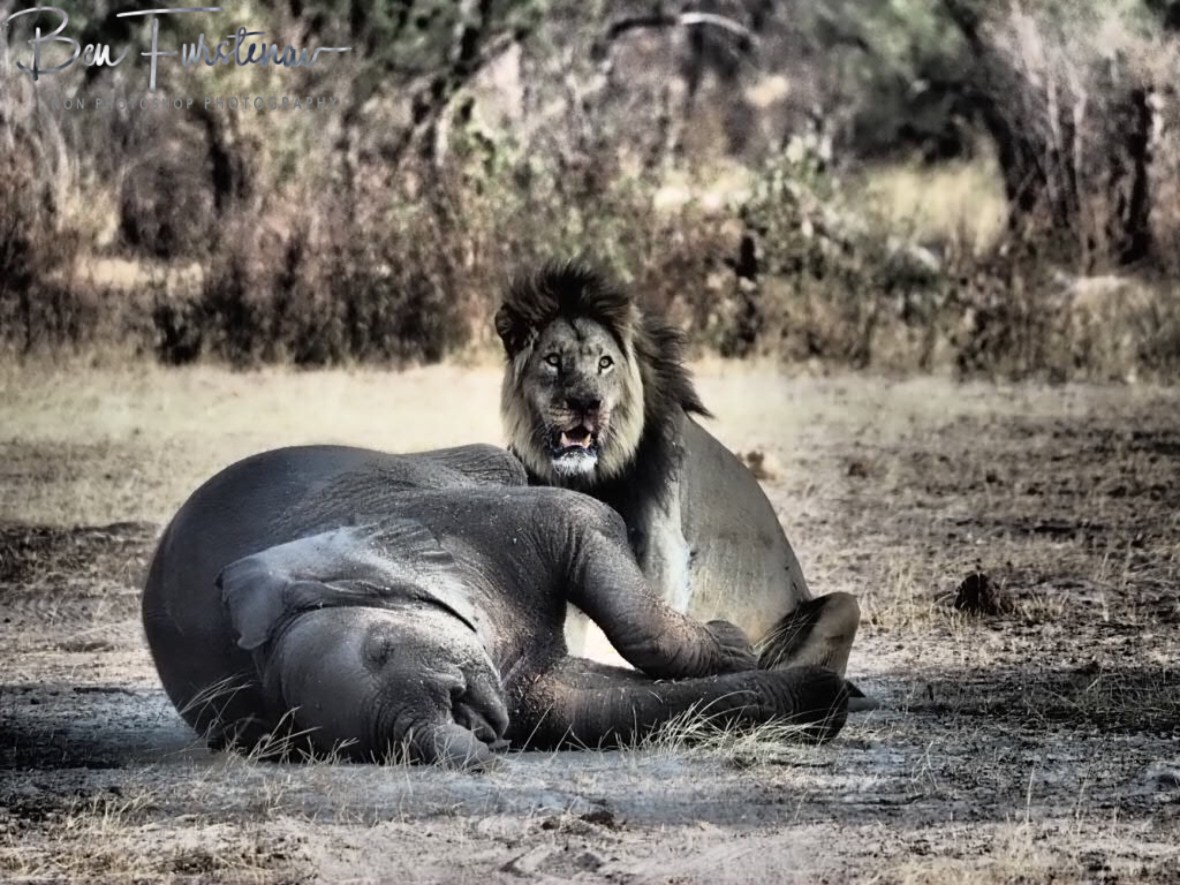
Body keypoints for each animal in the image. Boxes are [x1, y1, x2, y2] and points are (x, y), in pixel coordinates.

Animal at [142, 444, 849, 767]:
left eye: (383, 649)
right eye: (364, 749)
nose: (473, 745)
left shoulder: (470, 523)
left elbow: (585, 520)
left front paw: (737, 644)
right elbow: (607, 709)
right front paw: (816, 693)